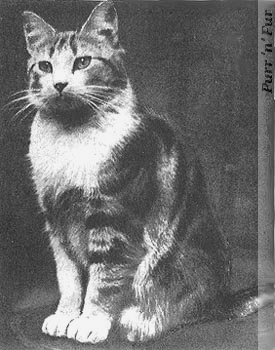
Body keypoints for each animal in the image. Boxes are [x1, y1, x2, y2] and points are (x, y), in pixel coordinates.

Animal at [23, 0, 266, 344]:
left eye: (83, 62)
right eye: (44, 66)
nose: (58, 84)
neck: (71, 134)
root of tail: (222, 298)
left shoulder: (113, 219)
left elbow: (103, 278)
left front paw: (90, 321)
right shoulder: (56, 221)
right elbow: (68, 277)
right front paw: (65, 315)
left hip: (166, 268)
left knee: (176, 308)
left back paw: (139, 321)